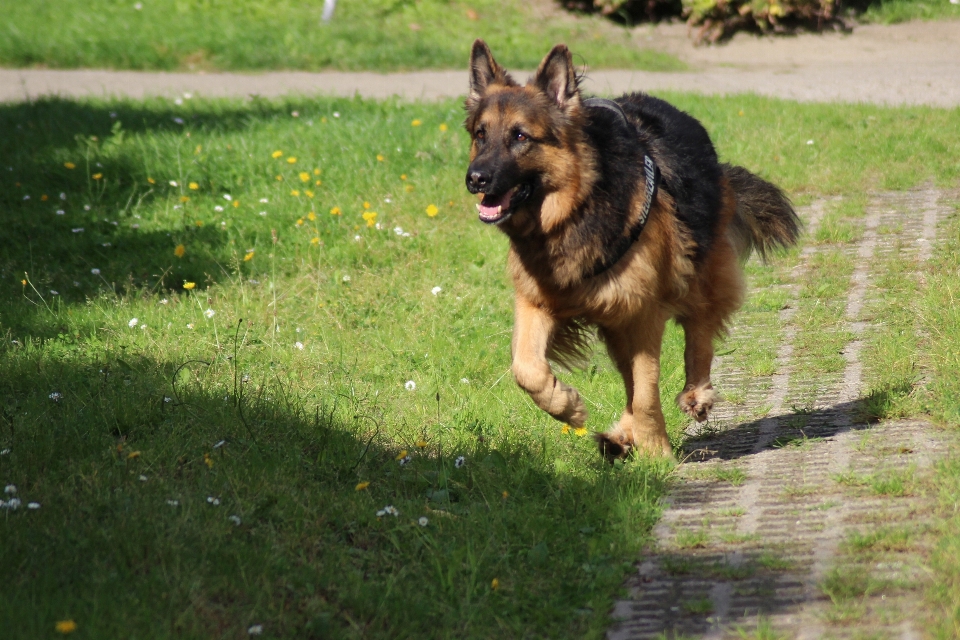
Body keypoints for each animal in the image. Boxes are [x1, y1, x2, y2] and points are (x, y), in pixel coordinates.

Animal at [462, 38, 800, 460]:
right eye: (480, 134)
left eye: (521, 137)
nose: (475, 178)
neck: (578, 208)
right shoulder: (538, 301)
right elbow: (526, 369)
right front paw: (567, 407)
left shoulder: (643, 314)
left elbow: (646, 392)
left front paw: (657, 452)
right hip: (614, 321)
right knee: (627, 377)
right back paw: (621, 435)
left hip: (696, 277)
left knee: (700, 329)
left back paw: (695, 394)